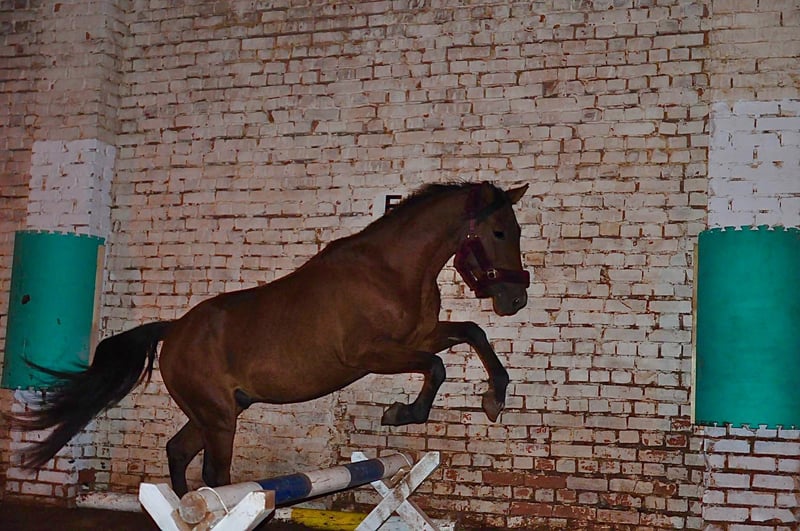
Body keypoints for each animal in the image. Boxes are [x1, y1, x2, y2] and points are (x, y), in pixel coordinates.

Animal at [12, 181, 530, 496]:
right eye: (499, 231)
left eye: (516, 230)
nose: (516, 298)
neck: (389, 271)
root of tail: (174, 330)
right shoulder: (372, 354)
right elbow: (437, 367)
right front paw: (403, 413)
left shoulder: (421, 335)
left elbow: (473, 333)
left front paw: (494, 397)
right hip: (219, 417)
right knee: (215, 474)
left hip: (218, 411)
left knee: (179, 452)